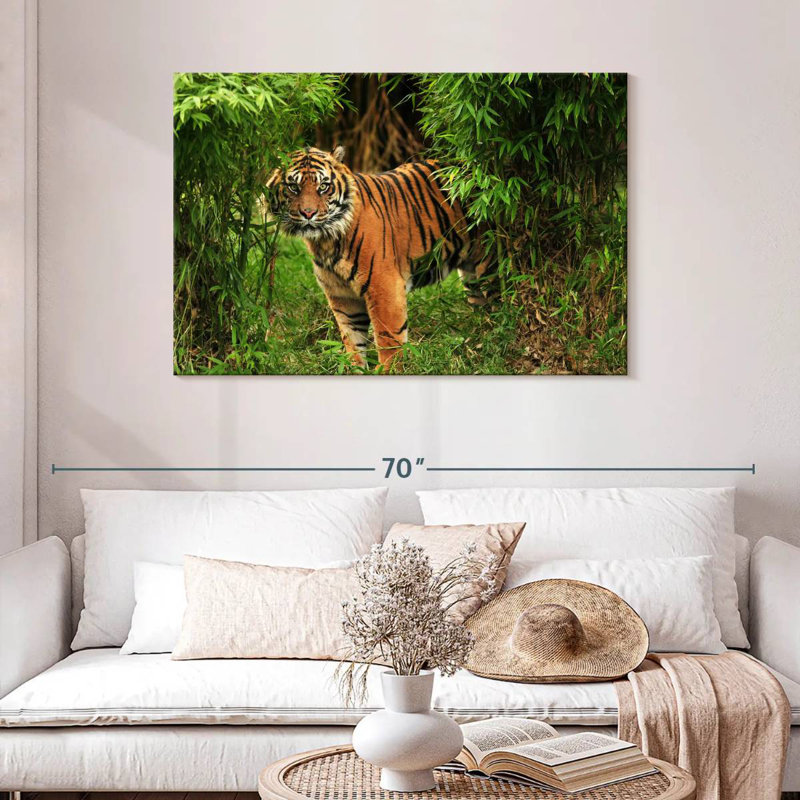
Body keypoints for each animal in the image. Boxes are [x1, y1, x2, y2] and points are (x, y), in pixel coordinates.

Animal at [266, 146, 494, 370]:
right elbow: (352, 340)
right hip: (471, 276)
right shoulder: (342, 295)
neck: (325, 240)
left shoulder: (384, 287)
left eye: (323, 187)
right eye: (293, 187)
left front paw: (388, 370)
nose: (308, 213)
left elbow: (389, 339)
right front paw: (354, 369)